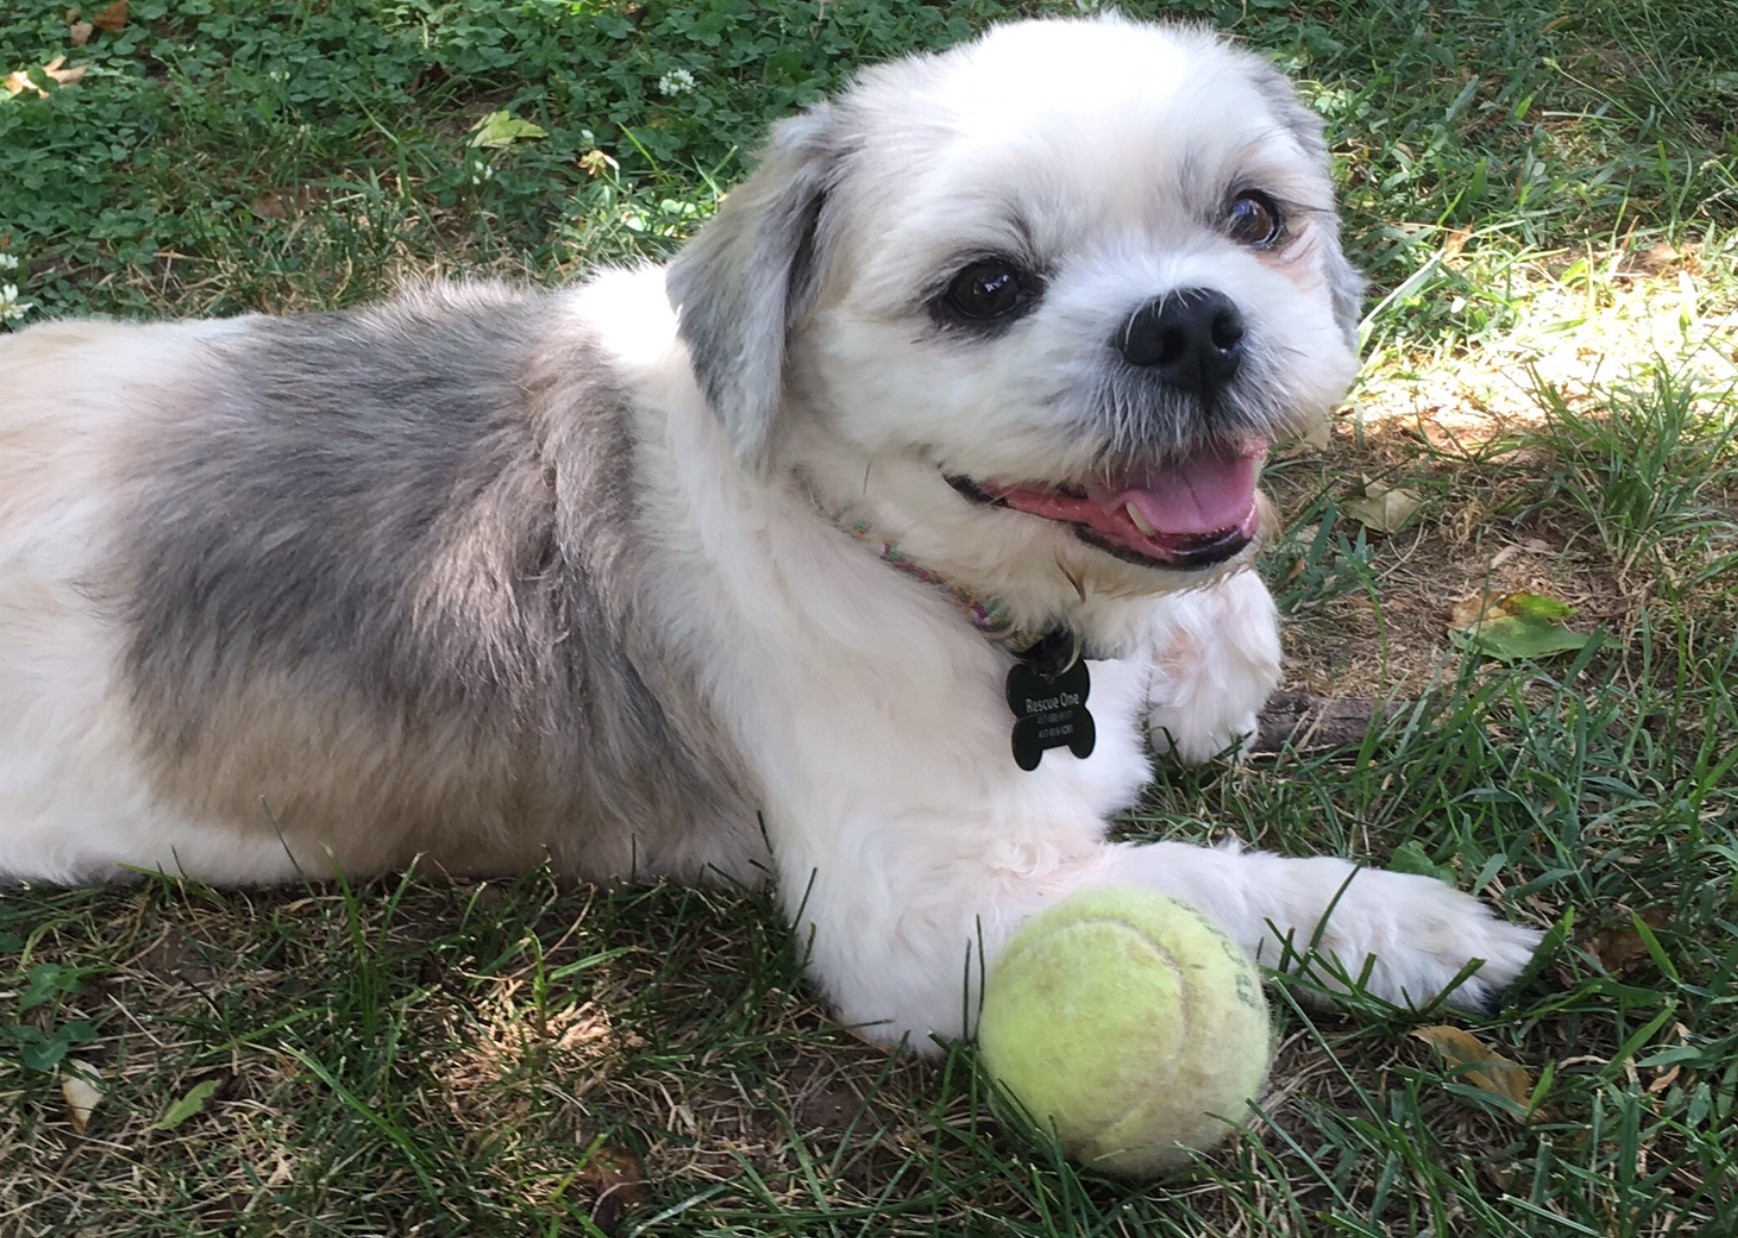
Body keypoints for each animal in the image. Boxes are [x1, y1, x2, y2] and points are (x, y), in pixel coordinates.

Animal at [6, 16, 1543, 1043]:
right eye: (987, 286)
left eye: (1253, 215)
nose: (1189, 322)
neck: (899, 555)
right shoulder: (910, 919)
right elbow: (1189, 892)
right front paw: (1408, 926)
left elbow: (1227, 603)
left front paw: (1210, 674)